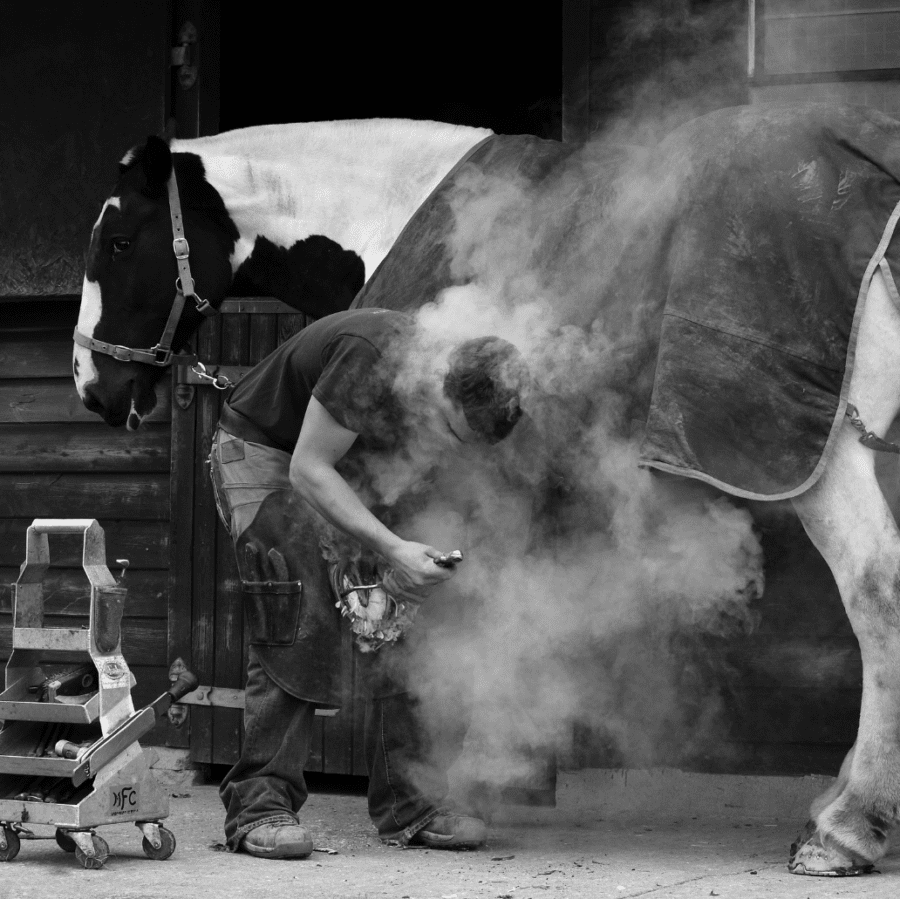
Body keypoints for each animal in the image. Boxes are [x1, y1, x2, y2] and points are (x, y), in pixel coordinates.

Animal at [72, 102, 900, 876]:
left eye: (119, 243)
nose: (93, 386)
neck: (398, 203)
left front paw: (434, 790)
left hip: (829, 461)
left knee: (877, 592)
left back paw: (845, 827)